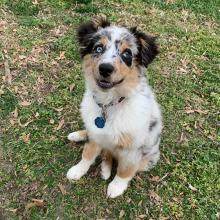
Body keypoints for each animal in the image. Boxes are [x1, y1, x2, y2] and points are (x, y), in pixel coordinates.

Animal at [66, 18, 162, 199]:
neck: (109, 104)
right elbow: (87, 154)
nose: (105, 68)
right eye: (98, 48)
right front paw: (77, 170)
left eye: (127, 54)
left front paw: (116, 187)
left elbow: (125, 170)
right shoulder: (96, 134)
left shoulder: (133, 148)